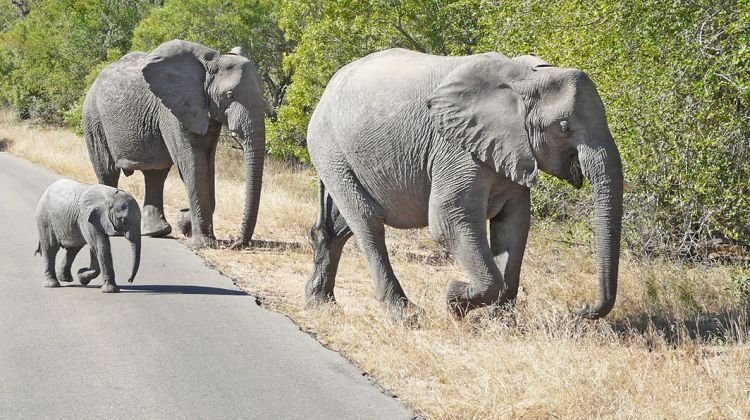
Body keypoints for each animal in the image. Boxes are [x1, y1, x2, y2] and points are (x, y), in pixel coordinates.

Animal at [83, 38, 266, 249]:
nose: (236, 243)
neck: (211, 62)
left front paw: (187, 224)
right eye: (229, 95)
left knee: (155, 175)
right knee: (108, 171)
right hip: (93, 119)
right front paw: (201, 243)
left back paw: (157, 232)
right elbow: (192, 164)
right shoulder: (172, 110)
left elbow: (207, 164)